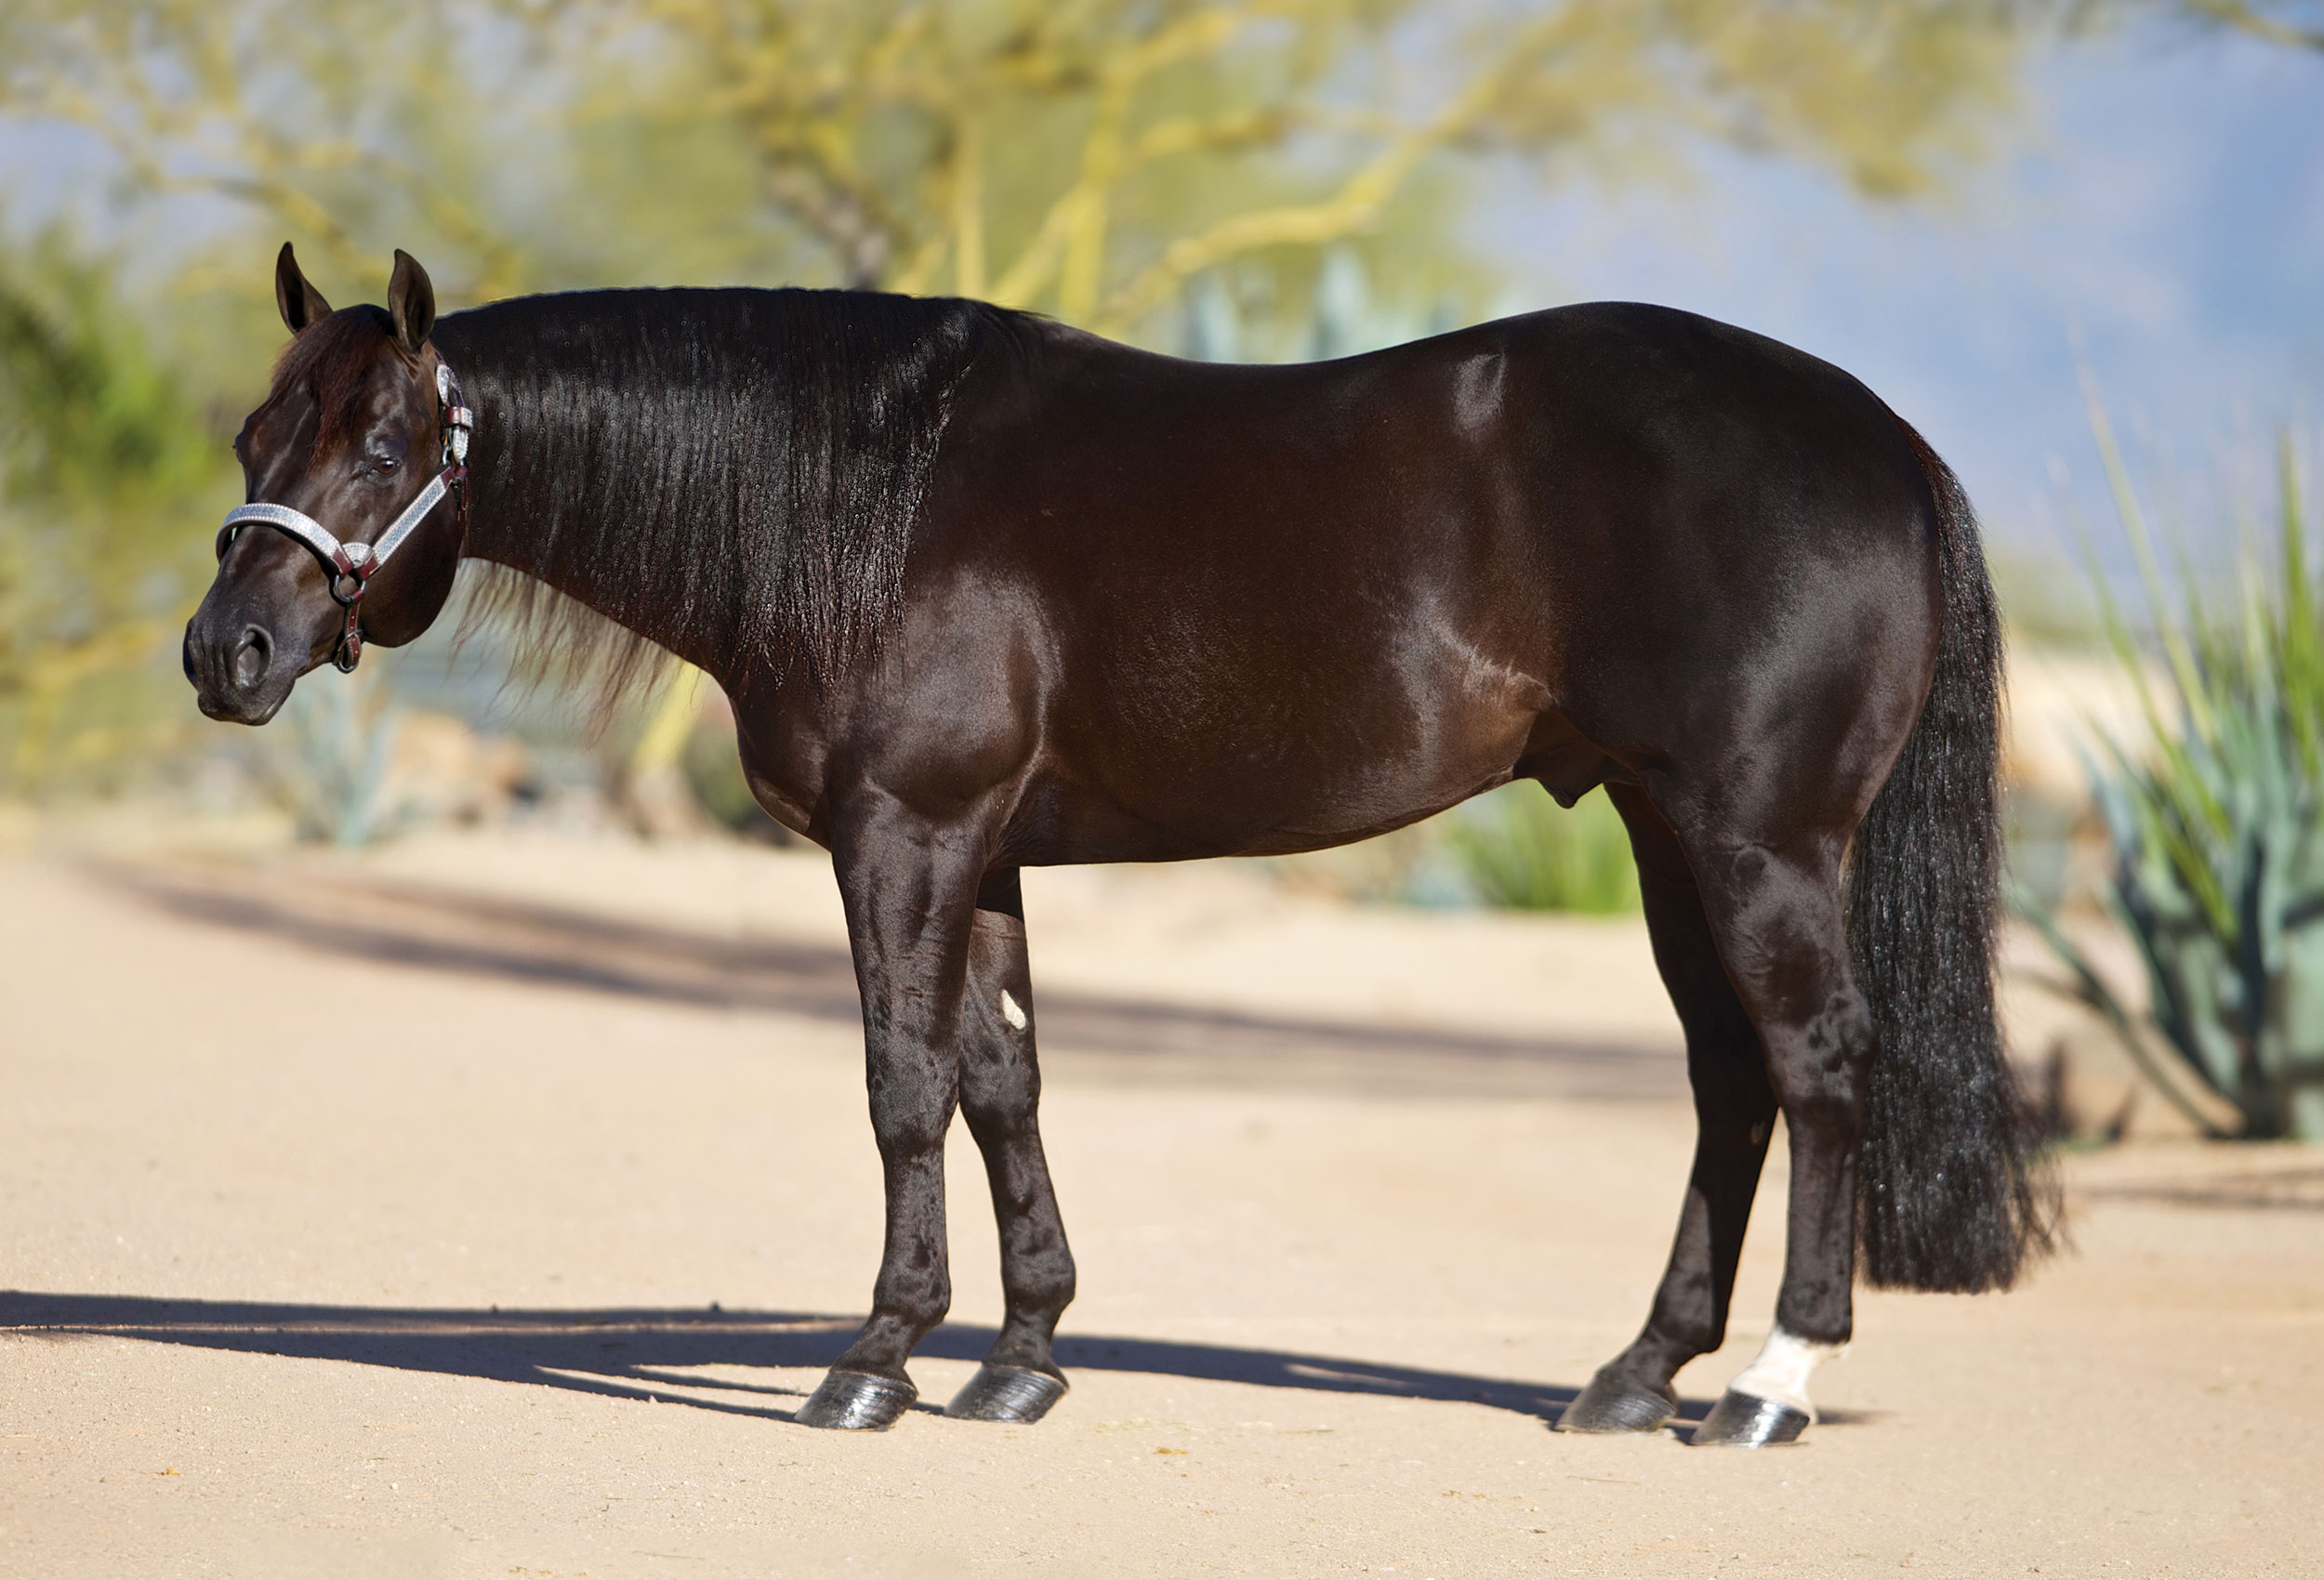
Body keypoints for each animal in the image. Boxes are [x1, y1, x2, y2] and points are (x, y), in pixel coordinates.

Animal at [184, 244, 2052, 1444]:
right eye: (255, 436)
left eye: (385, 441)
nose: (226, 655)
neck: (867, 502)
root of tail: (1885, 439)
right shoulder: (986, 854)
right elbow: (1003, 1083)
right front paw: (1021, 1356)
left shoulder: (904, 838)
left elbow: (901, 1088)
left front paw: (877, 1358)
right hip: (1669, 834)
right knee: (1732, 1082)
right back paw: (1637, 1375)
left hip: (1761, 838)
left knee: (1818, 1067)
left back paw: (1767, 1389)